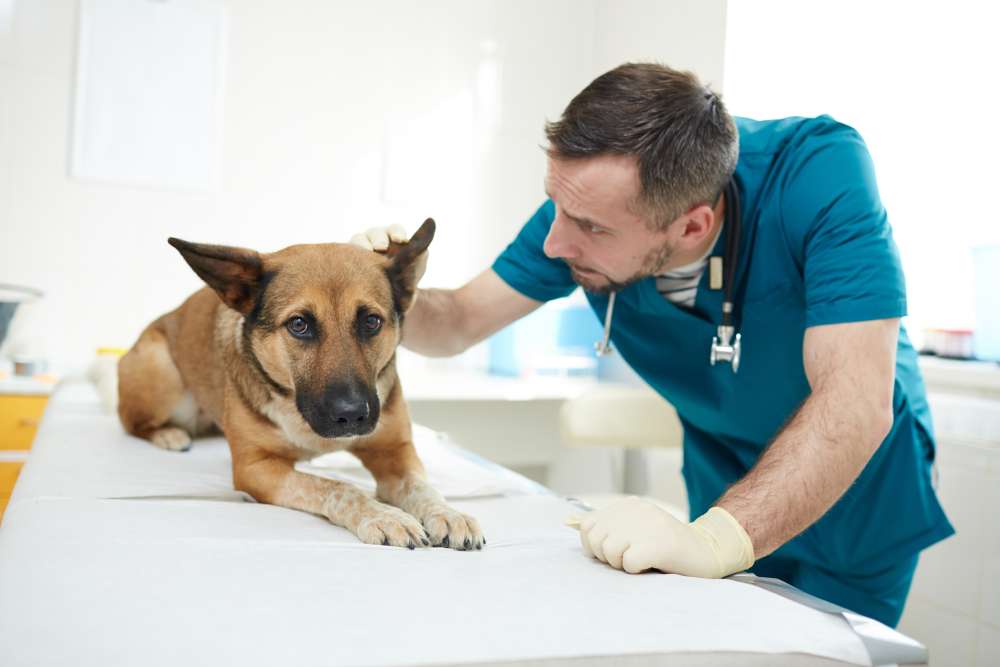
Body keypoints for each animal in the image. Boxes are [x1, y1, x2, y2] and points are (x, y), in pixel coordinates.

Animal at [117, 222, 484, 552]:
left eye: (371, 321)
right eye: (299, 324)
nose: (352, 415)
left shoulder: (395, 451)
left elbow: (422, 486)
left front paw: (448, 513)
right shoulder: (256, 469)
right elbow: (339, 488)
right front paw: (383, 515)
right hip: (160, 371)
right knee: (131, 421)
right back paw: (168, 434)